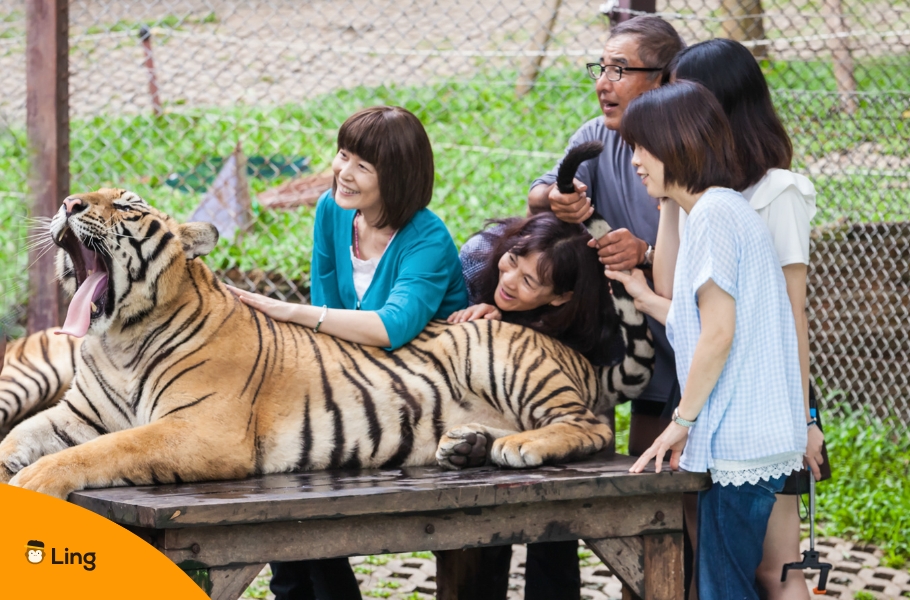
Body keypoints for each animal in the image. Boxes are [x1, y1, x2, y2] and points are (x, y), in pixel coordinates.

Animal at [0, 188, 654, 499]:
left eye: (124, 206)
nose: (68, 204)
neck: (118, 338)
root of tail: (575, 354)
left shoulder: (199, 427)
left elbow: (101, 452)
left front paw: (35, 482)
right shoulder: (76, 414)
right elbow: (21, 436)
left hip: (508, 361)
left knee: (590, 428)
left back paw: (520, 446)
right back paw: (468, 445)